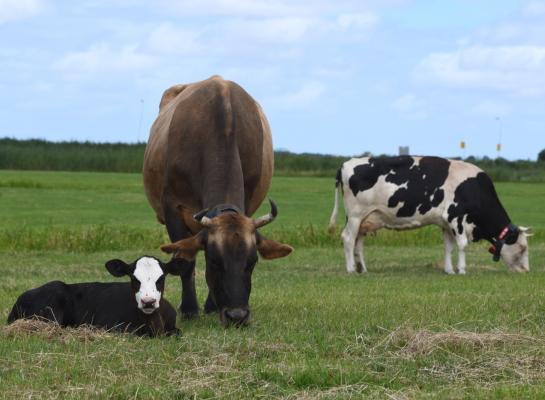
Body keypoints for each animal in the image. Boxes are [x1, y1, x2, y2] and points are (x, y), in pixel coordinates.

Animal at [142, 76, 292, 326]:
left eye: (252, 262)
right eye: (215, 261)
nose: (237, 316)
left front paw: (211, 306)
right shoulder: (173, 208)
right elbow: (185, 262)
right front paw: (189, 309)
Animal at [330, 156, 528, 276]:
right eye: (522, 248)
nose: (526, 270)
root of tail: (346, 163)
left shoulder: (446, 223)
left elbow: (448, 247)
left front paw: (449, 270)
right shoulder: (456, 216)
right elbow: (462, 245)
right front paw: (462, 270)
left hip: (365, 219)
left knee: (358, 243)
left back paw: (362, 269)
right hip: (355, 215)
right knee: (348, 238)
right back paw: (350, 269)